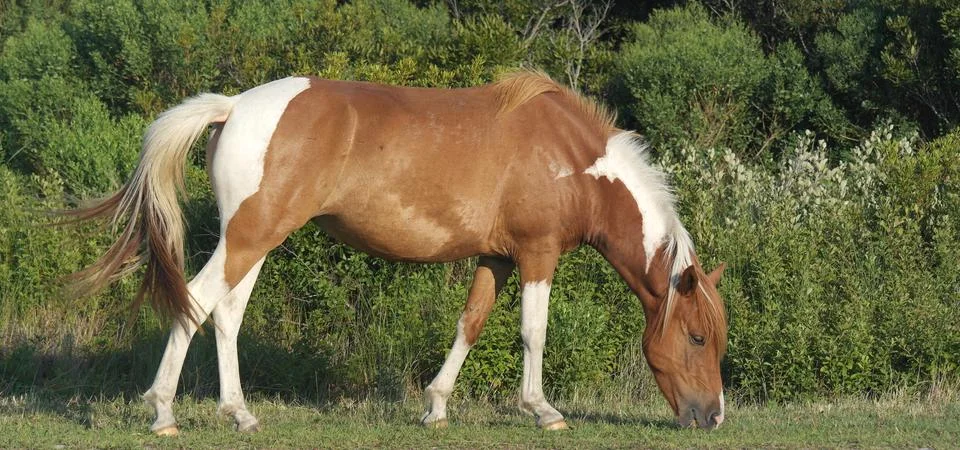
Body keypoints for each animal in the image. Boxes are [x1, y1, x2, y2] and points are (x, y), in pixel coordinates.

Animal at [67, 71, 727, 435]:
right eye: (697, 338)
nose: (714, 415)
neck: (570, 159)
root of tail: (234, 107)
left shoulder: (497, 258)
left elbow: (470, 324)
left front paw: (435, 407)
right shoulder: (538, 256)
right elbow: (533, 333)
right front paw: (543, 410)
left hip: (253, 241)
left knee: (226, 315)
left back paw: (240, 415)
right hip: (250, 238)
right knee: (196, 304)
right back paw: (163, 414)